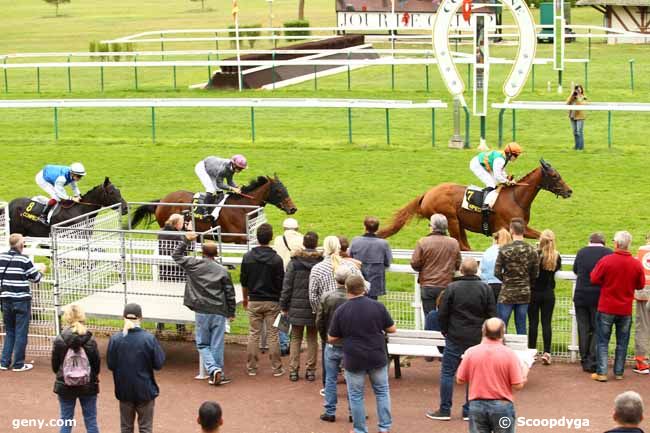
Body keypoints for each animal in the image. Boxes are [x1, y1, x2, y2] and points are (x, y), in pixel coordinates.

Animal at [130, 176, 298, 243]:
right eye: (278, 191)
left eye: (286, 188)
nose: (293, 209)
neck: (241, 207)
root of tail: (161, 201)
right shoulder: (240, 238)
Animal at [378, 159, 568, 250]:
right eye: (555, 176)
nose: (569, 191)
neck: (516, 198)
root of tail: (427, 194)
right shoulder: (510, 227)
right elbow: (542, 235)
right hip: (451, 220)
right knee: (462, 247)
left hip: (459, 223)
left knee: (464, 247)